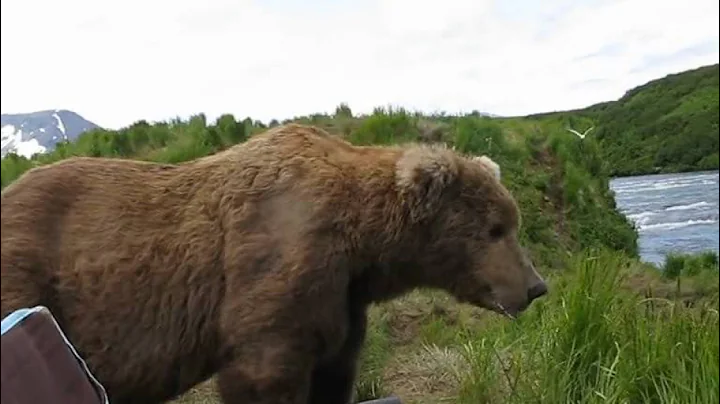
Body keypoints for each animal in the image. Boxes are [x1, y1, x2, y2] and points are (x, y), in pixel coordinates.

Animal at [1, 123, 547, 404]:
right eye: (496, 229)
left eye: (511, 222)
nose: (535, 285)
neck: (361, 243)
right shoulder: (277, 261)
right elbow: (265, 372)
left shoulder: (341, 300)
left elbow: (334, 370)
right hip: (29, 276)